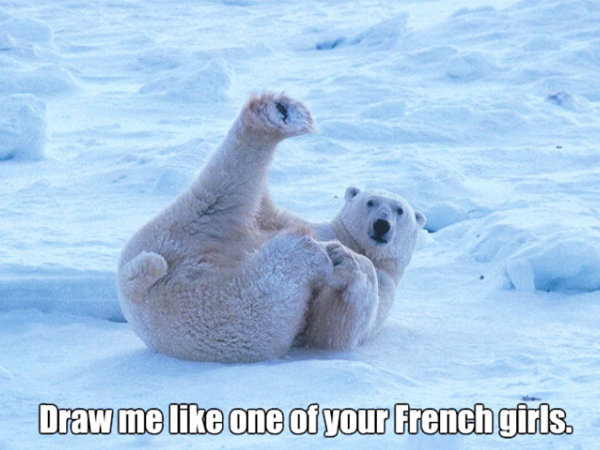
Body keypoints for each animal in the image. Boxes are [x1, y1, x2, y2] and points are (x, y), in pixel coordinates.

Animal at [117, 92, 425, 363]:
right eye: (371, 202)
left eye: (400, 211)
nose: (382, 225)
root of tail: (142, 292)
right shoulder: (290, 220)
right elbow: (265, 211)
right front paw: (341, 254)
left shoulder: (387, 284)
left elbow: (334, 328)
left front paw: (344, 259)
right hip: (177, 233)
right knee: (222, 195)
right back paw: (279, 113)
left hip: (226, 315)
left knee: (262, 285)